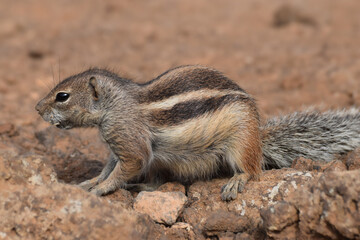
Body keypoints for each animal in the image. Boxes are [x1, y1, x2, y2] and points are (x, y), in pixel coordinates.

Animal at [35, 65, 360, 201]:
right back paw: (142, 187)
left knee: (253, 171)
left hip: (240, 141)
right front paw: (88, 182)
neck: (117, 103)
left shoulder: (130, 143)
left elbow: (125, 168)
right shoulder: (118, 145)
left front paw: (101, 189)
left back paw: (236, 181)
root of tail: (259, 138)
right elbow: (108, 168)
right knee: (157, 181)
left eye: (62, 96)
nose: (37, 108)